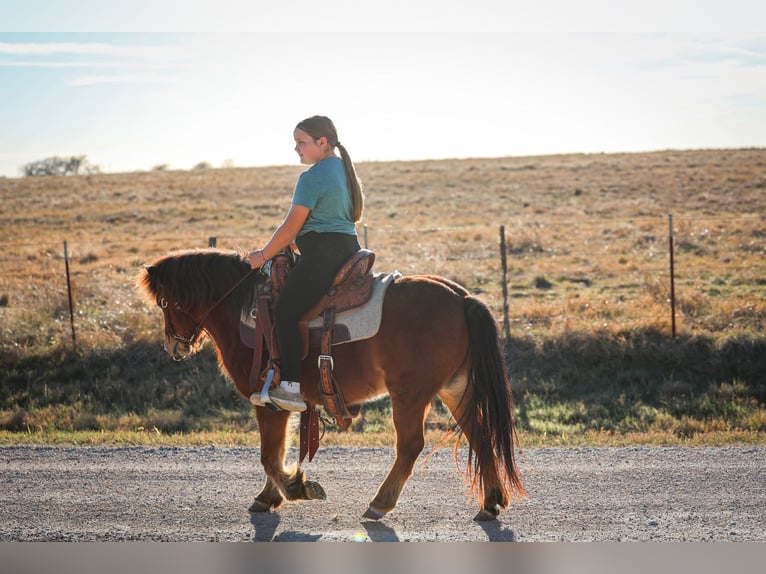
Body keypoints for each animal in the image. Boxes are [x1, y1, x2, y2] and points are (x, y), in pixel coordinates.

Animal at [137, 248, 525, 521]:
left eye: (165, 302)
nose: (175, 345)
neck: (246, 310)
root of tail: (462, 297)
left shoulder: (267, 401)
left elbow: (269, 455)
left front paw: (297, 487)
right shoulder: (283, 404)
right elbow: (277, 451)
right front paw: (271, 495)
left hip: (410, 394)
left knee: (411, 445)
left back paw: (380, 503)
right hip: (455, 390)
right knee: (480, 434)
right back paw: (490, 502)